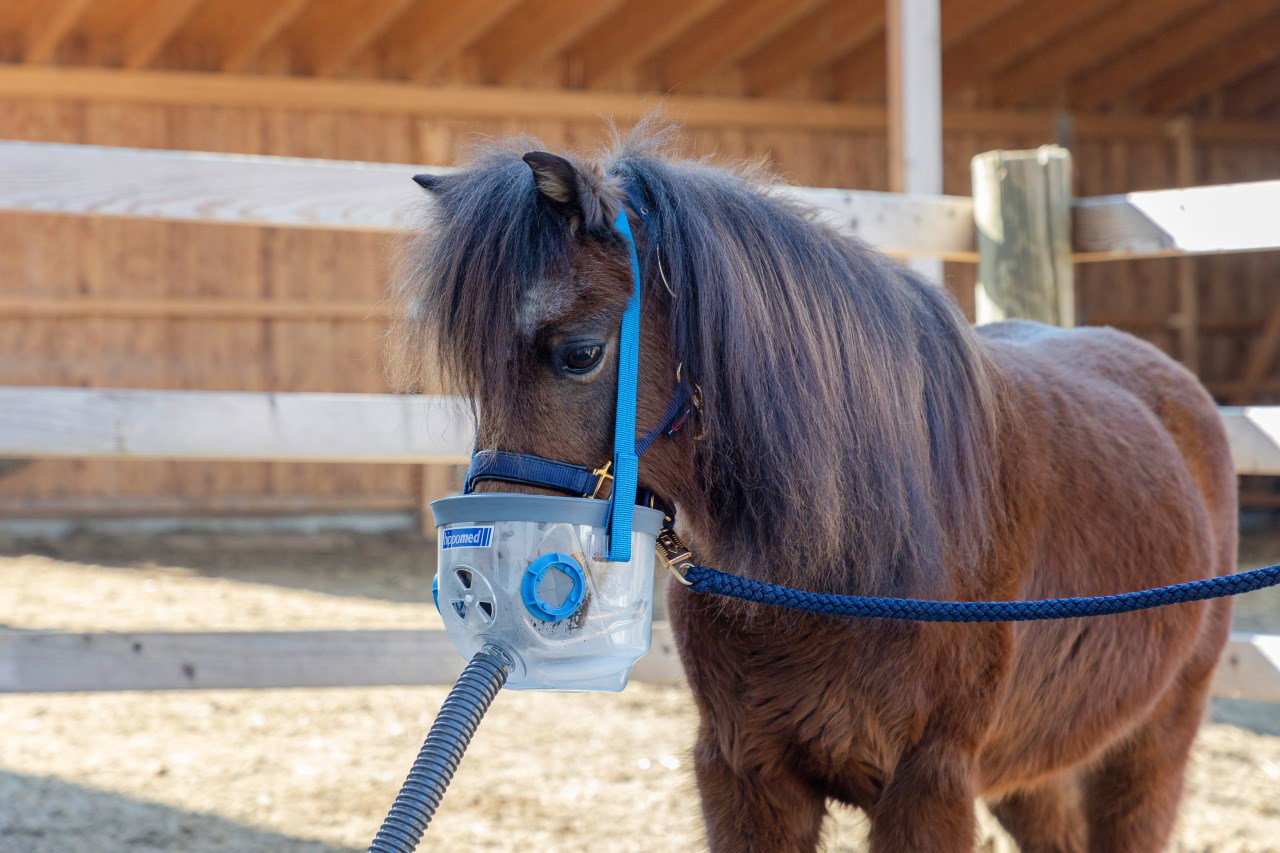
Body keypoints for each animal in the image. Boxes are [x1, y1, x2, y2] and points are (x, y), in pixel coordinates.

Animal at [394, 126, 1236, 852]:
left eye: (579, 353)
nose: (478, 578)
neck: (844, 563)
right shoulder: (746, 776)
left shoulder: (928, 787)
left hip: (1149, 748)